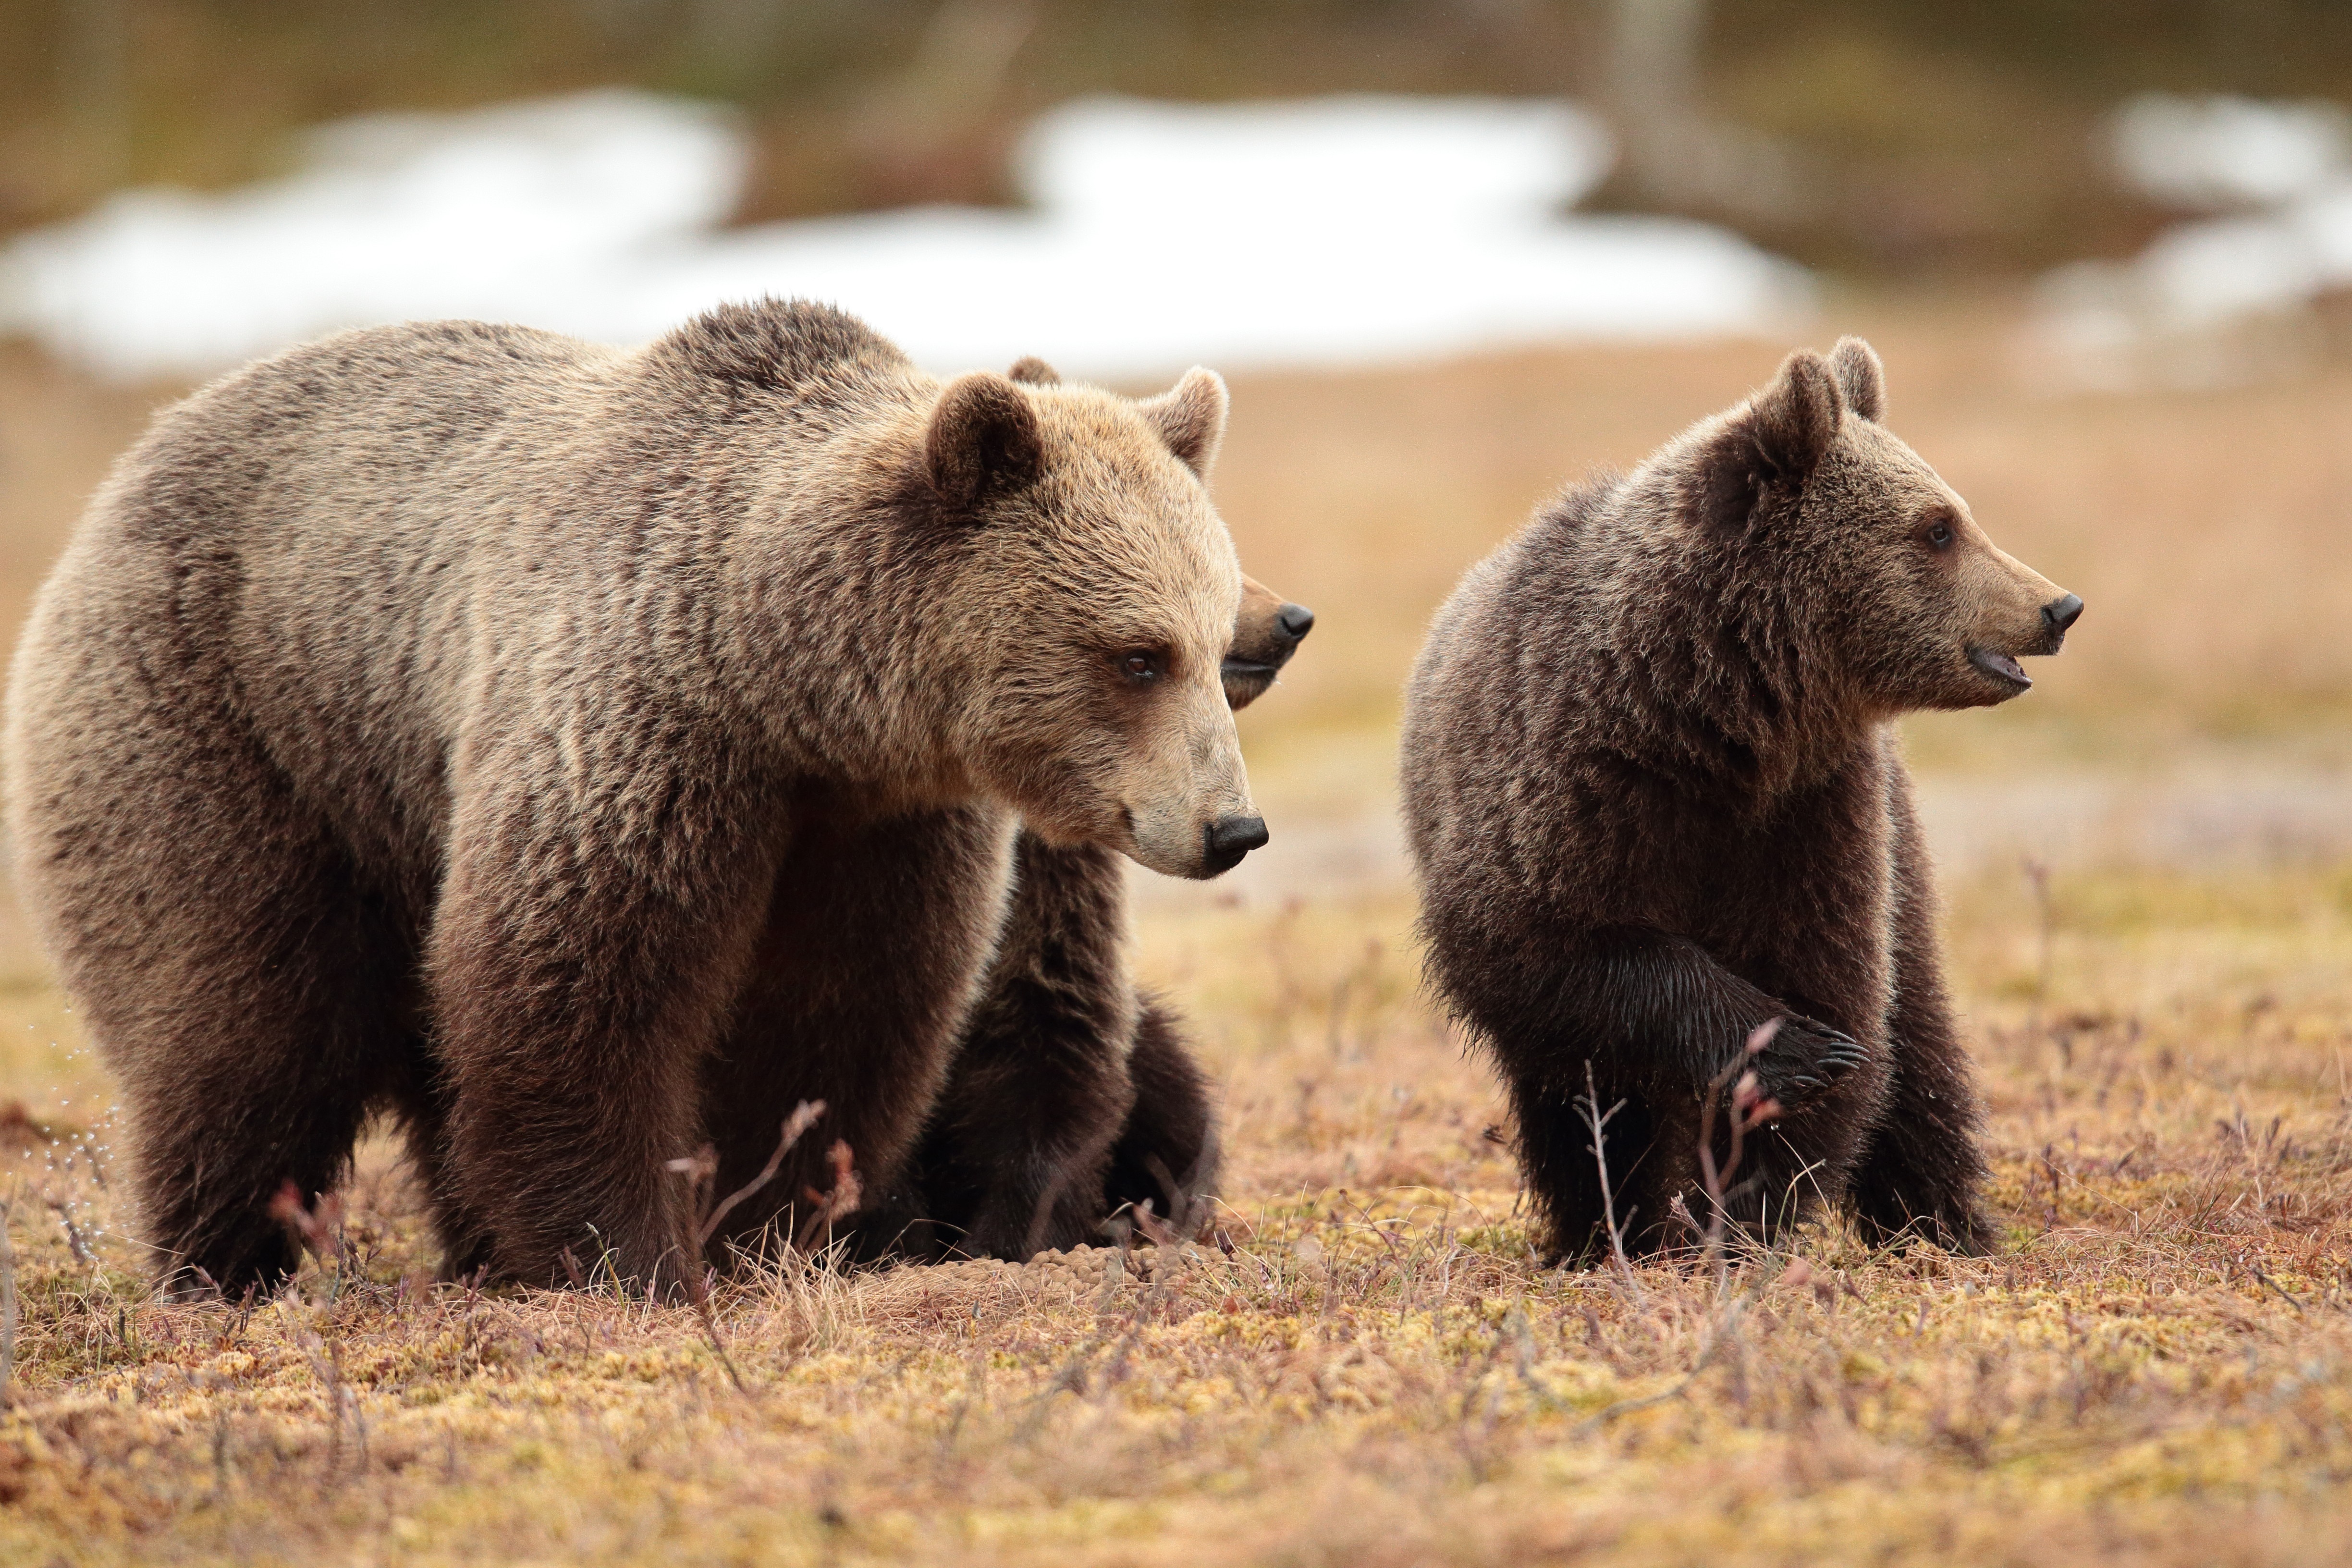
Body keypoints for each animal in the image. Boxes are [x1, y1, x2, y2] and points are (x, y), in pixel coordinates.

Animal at [4, 298, 1271, 1295]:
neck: (783, 675)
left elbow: (837, 1018)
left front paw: (771, 1232)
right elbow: (573, 997)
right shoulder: (641, 729)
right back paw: (223, 1269)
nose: (1232, 826)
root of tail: (139, 458)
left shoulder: (877, 825)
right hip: (238, 730)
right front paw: (630, 1258)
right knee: (244, 1025)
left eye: (1210, 646)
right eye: (1137, 655)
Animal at [1399, 337, 2081, 1262]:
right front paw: (1793, 1057)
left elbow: (1832, 983)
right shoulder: (1567, 790)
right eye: (1938, 527)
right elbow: (1555, 951)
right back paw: (1601, 1231)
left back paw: (1941, 1224)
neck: (1705, 722)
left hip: (1901, 845)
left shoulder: (1811, 810)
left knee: (1922, 1043)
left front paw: (1743, 1210)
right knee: (1575, 1108)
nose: (2058, 605)